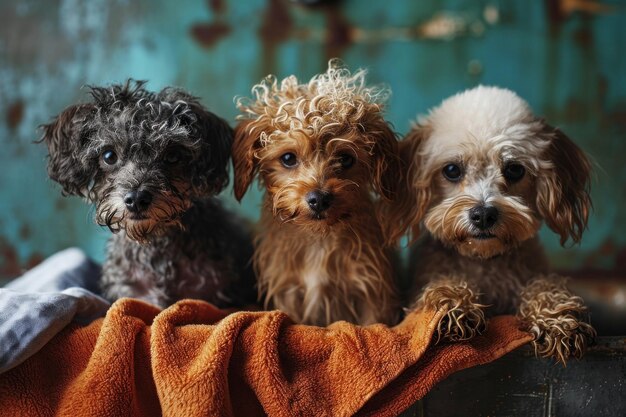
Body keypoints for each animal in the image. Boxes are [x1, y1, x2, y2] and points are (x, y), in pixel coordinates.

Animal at [390, 86, 596, 362]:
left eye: (515, 169)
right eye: (452, 170)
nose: (483, 214)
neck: (485, 262)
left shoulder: (532, 273)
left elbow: (544, 285)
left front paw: (557, 318)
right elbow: (444, 283)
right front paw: (453, 303)